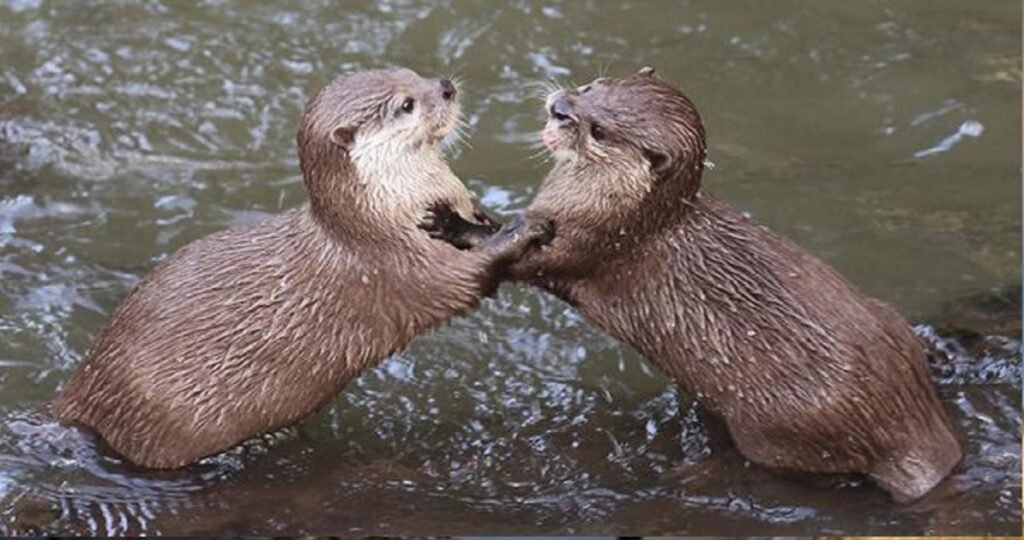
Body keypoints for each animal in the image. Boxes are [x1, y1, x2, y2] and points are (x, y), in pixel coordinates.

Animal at [53, 68, 552, 469]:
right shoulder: (398, 264)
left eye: (413, 73)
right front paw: (521, 229)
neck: (383, 215)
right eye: (406, 104)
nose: (446, 86)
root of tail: (83, 393)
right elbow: (463, 280)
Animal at [434, 67, 962, 502]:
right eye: (590, 86)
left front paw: (451, 224)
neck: (629, 215)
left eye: (599, 129)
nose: (559, 106)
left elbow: (518, 259)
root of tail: (913, 426)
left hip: (780, 426)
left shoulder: (589, 246)